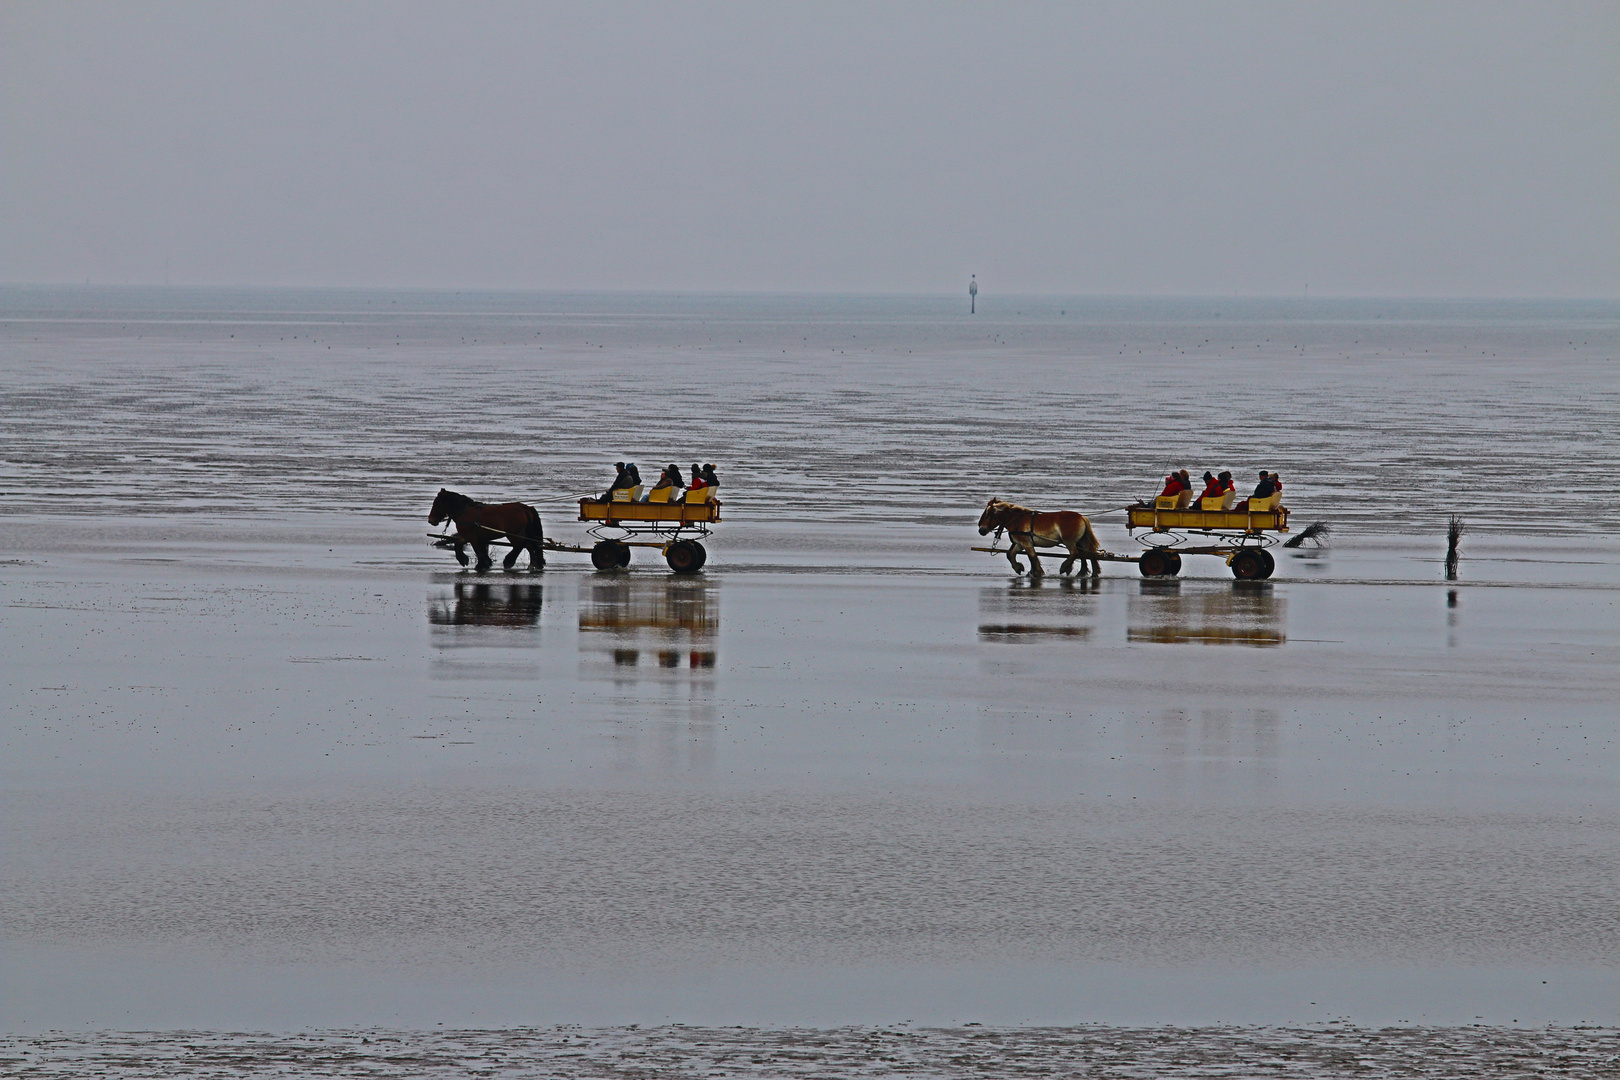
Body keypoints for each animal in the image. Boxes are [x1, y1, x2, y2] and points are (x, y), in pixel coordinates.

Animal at [972, 501, 1101, 582]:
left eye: (988, 516)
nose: (981, 530)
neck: (1016, 520)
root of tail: (1082, 517)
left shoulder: (1027, 543)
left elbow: (1032, 557)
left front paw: (1037, 572)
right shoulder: (1019, 543)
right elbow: (1010, 554)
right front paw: (1018, 568)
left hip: (1069, 542)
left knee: (1075, 553)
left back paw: (1065, 568)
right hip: (1082, 541)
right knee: (1088, 554)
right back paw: (1091, 573)